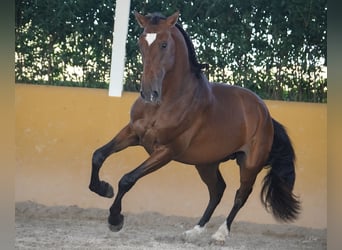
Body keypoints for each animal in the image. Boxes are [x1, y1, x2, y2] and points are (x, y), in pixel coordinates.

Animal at [89, 11, 300, 242]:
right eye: (140, 42)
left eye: (164, 44)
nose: (148, 92)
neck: (164, 103)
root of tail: (265, 114)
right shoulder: (133, 134)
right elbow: (98, 155)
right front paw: (102, 188)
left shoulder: (167, 151)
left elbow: (127, 179)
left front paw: (115, 219)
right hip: (206, 163)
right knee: (217, 190)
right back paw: (194, 230)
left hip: (249, 164)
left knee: (240, 195)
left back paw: (220, 234)